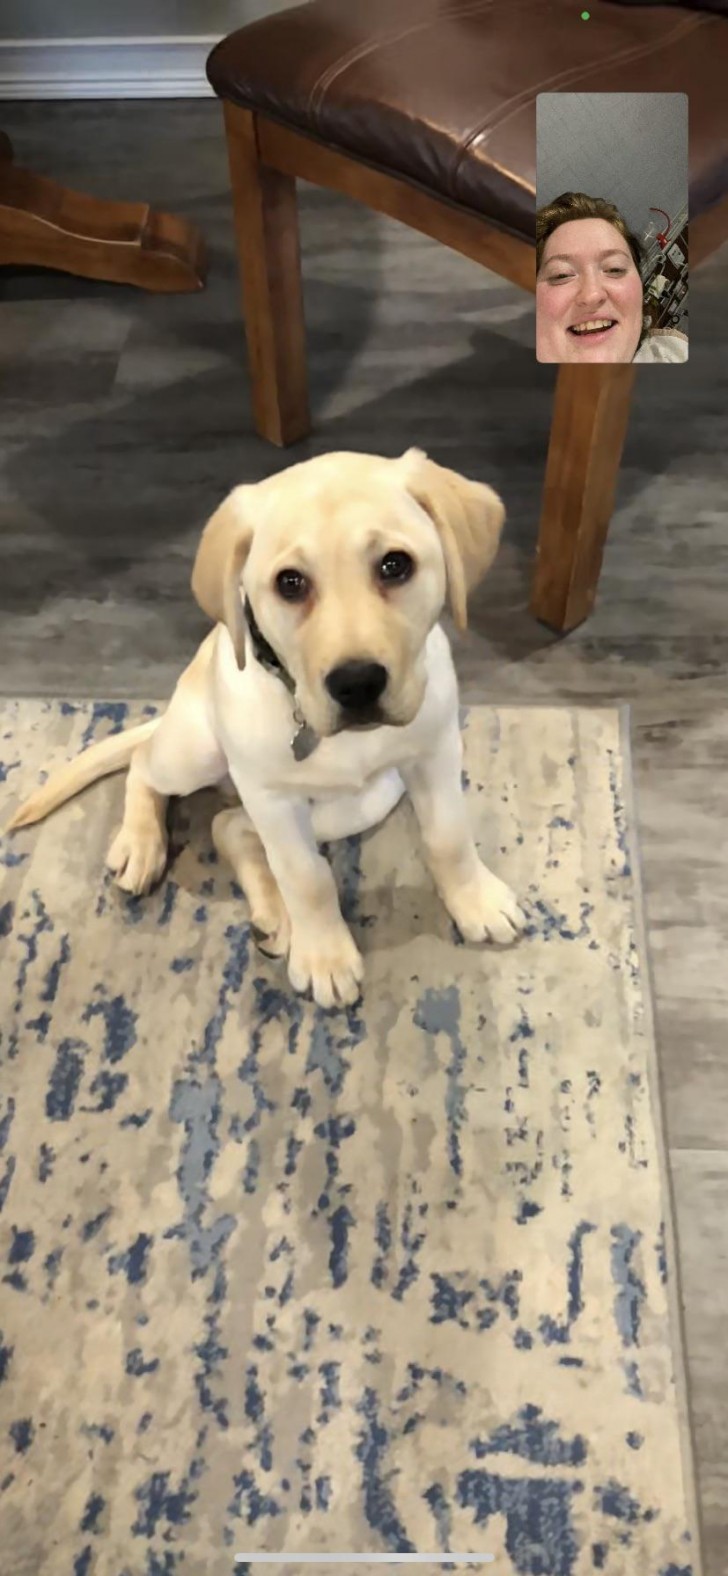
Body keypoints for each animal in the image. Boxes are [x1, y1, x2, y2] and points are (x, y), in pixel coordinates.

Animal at [5, 450, 523, 1002]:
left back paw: (274, 915)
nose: (357, 684)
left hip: (365, 800)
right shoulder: (272, 796)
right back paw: (142, 846)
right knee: (147, 767)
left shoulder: (435, 754)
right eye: (290, 583)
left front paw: (477, 901)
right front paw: (324, 957)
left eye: (395, 564)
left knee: (228, 826)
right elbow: (306, 876)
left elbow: (448, 836)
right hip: (196, 751)